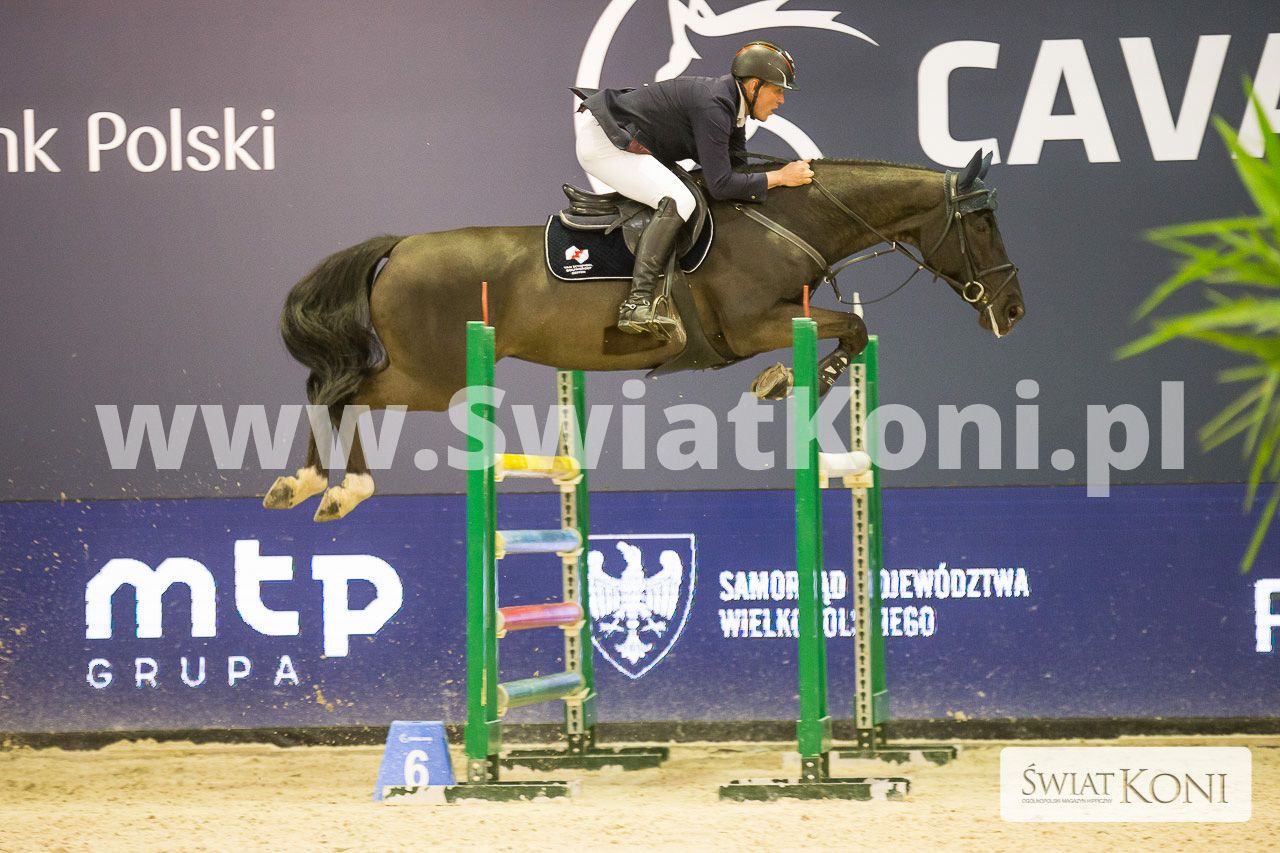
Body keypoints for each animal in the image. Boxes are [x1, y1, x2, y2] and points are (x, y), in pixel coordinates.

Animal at [265, 150, 1025, 521]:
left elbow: (853, 328)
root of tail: (399, 246)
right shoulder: (750, 324)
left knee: (338, 389)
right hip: (434, 376)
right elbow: (854, 327)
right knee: (342, 391)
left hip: (430, 374)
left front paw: (790, 379)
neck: (785, 217)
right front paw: (785, 379)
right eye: (982, 223)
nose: (1013, 309)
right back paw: (322, 486)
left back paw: (321, 488)